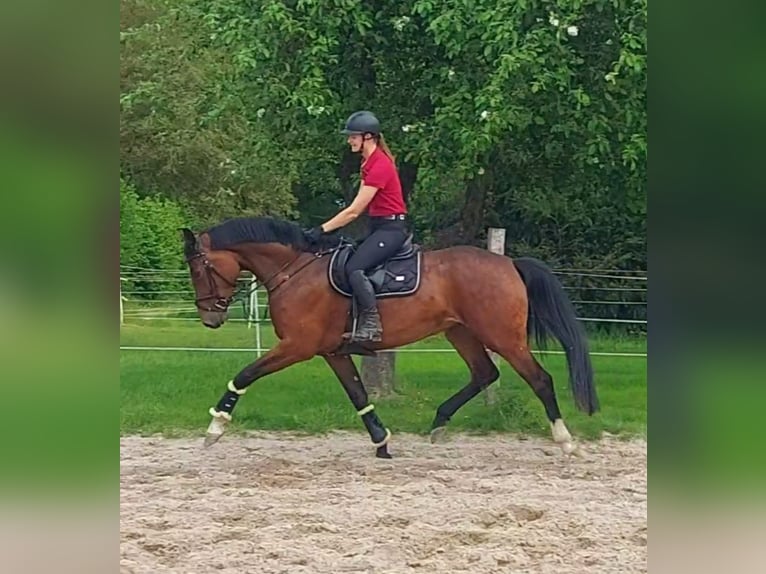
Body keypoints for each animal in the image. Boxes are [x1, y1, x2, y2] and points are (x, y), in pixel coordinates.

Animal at [181, 216, 599, 458]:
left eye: (199, 269)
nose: (210, 318)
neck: (295, 269)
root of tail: (508, 263)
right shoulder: (332, 352)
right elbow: (358, 394)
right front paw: (381, 442)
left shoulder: (297, 347)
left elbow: (245, 374)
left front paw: (215, 427)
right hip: (460, 331)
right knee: (485, 373)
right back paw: (439, 423)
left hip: (502, 336)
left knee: (539, 379)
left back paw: (564, 440)